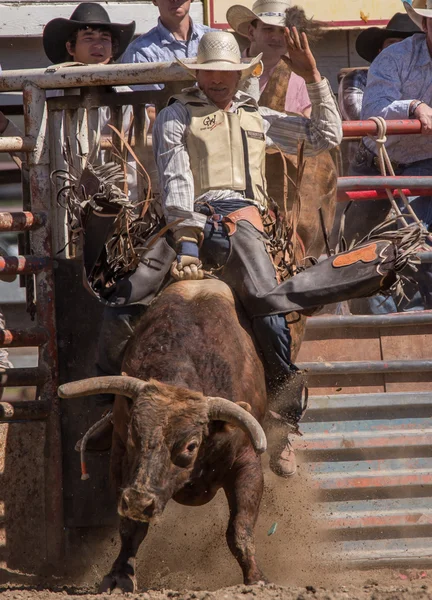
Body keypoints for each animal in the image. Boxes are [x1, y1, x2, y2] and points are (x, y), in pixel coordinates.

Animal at [59, 278, 270, 592]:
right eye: (133, 434)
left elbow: (239, 530)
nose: (138, 501)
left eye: (191, 446)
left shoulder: (248, 464)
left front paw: (255, 578)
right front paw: (119, 575)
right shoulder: (120, 460)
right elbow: (131, 527)